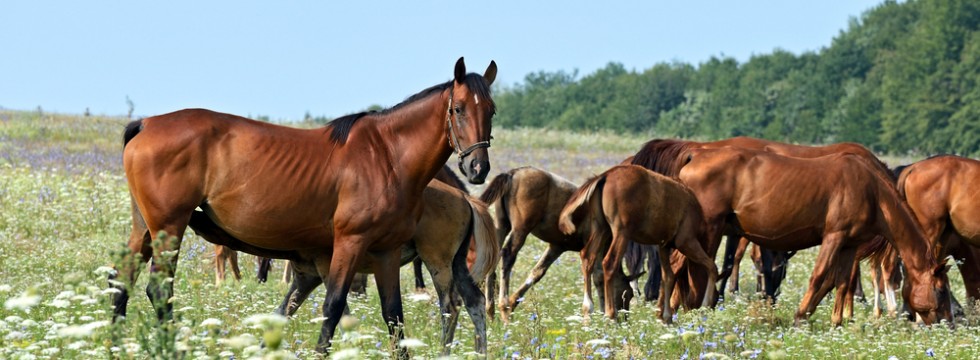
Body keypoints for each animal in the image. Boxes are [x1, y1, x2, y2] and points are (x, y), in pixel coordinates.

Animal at [276, 180, 502, 354]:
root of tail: (464, 198)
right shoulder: (307, 276)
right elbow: (284, 310)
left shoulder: (324, 269)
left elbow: (337, 310)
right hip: (457, 264)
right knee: (475, 301)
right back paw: (479, 353)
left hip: (438, 262)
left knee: (450, 307)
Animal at [560, 165, 720, 322]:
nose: (713, 306)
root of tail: (605, 175)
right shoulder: (687, 242)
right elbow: (712, 267)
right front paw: (704, 306)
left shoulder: (664, 246)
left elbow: (668, 276)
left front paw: (666, 317)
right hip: (621, 234)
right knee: (609, 263)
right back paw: (610, 315)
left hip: (601, 229)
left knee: (588, 258)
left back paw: (588, 311)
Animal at [668, 148, 952, 324]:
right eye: (940, 291)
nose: (947, 322)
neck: (872, 192)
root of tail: (695, 155)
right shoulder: (833, 238)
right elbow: (818, 277)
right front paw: (801, 316)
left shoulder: (849, 245)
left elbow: (842, 283)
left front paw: (837, 323)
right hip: (707, 230)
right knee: (680, 266)